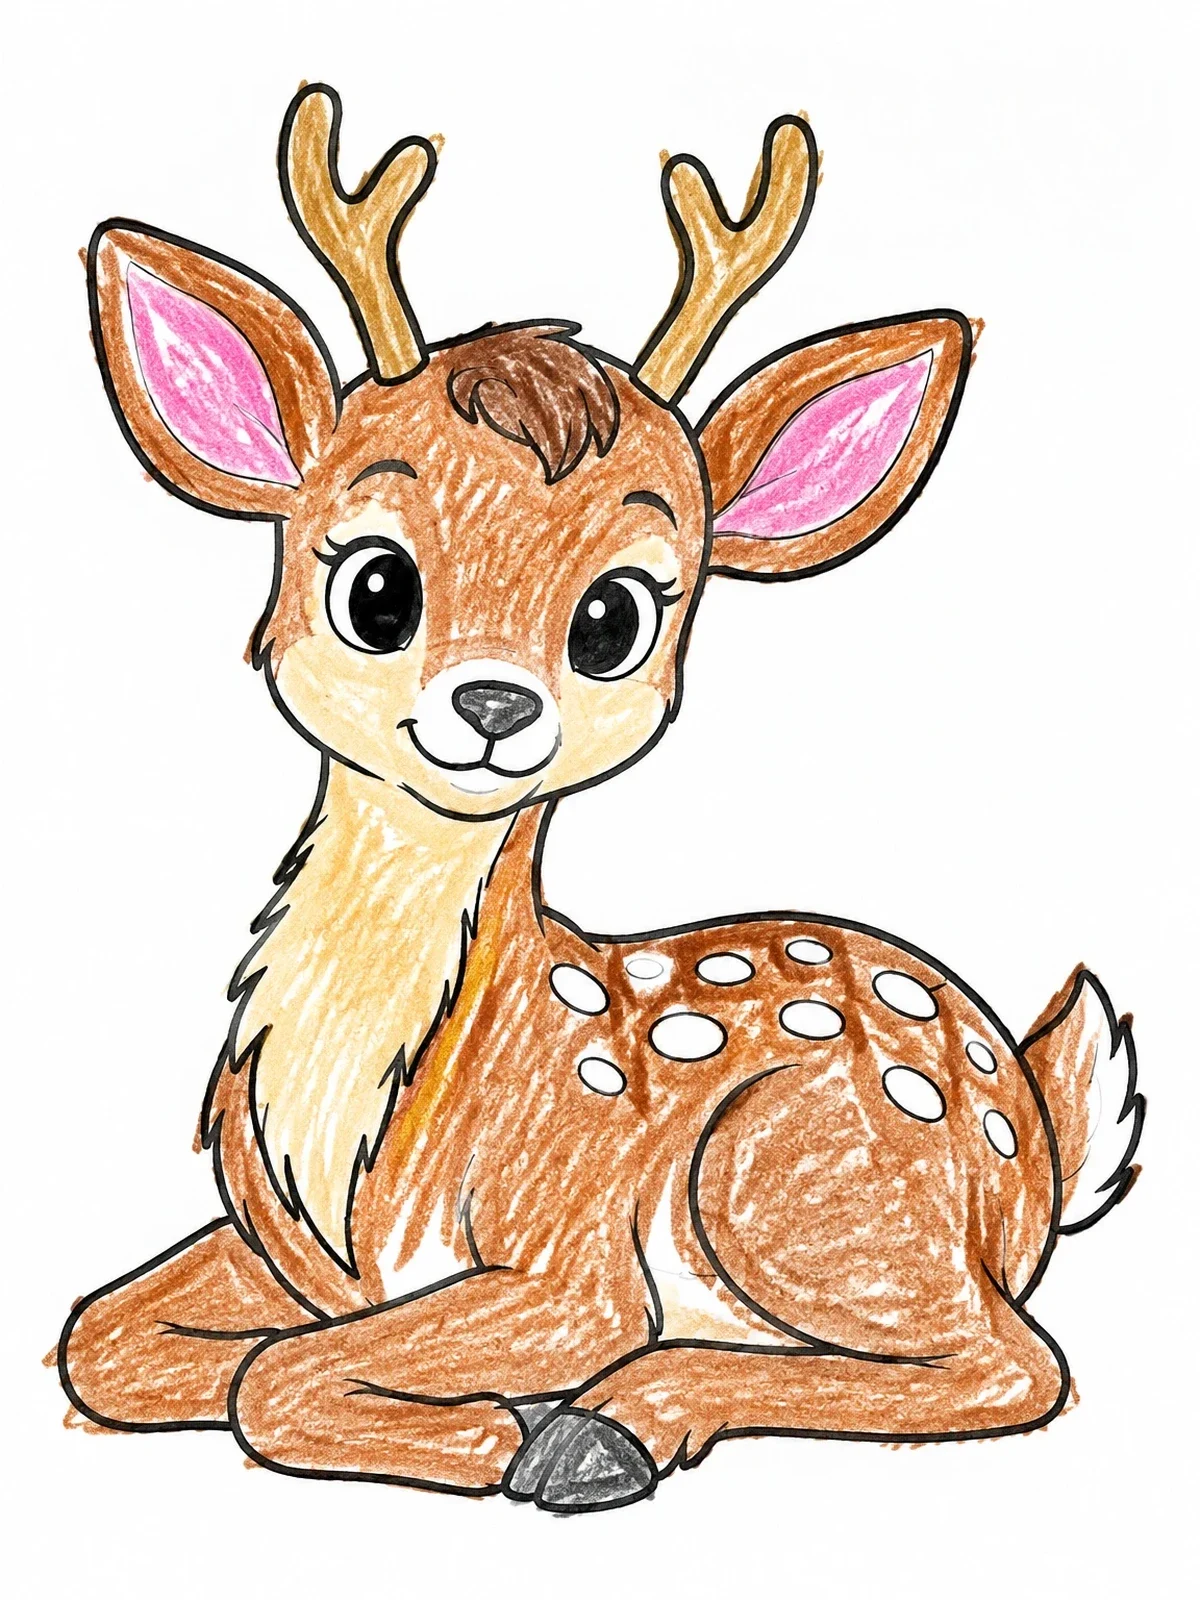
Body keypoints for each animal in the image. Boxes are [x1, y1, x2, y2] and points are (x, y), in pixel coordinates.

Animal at [58, 84, 1144, 1513]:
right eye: (376, 585)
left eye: (614, 616)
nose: (493, 706)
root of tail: (1037, 1128)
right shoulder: (278, 1250)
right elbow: (104, 1340)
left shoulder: (577, 1266)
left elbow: (275, 1381)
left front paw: (491, 1428)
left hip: (790, 1168)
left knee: (1015, 1360)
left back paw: (607, 1428)